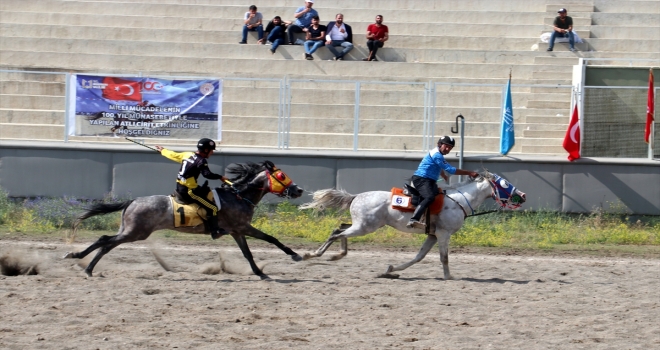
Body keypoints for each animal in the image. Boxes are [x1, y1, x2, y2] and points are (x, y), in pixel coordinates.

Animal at [65, 161, 302, 278]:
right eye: (281, 176)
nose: (298, 190)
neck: (238, 196)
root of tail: (132, 201)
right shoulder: (243, 227)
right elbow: (271, 239)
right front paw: (295, 255)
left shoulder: (237, 231)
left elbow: (248, 253)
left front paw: (259, 272)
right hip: (136, 232)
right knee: (105, 240)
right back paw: (77, 257)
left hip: (130, 231)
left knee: (106, 243)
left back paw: (87, 267)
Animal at [300, 171, 524, 280]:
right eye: (504, 184)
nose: (522, 195)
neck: (458, 200)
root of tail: (355, 196)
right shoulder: (444, 234)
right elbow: (444, 258)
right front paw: (449, 277)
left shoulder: (432, 235)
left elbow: (419, 257)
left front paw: (391, 269)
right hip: (365, 227)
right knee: (336, 233)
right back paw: (313, 254)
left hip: (363, 225)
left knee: (339, 229)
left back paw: (337, 254)